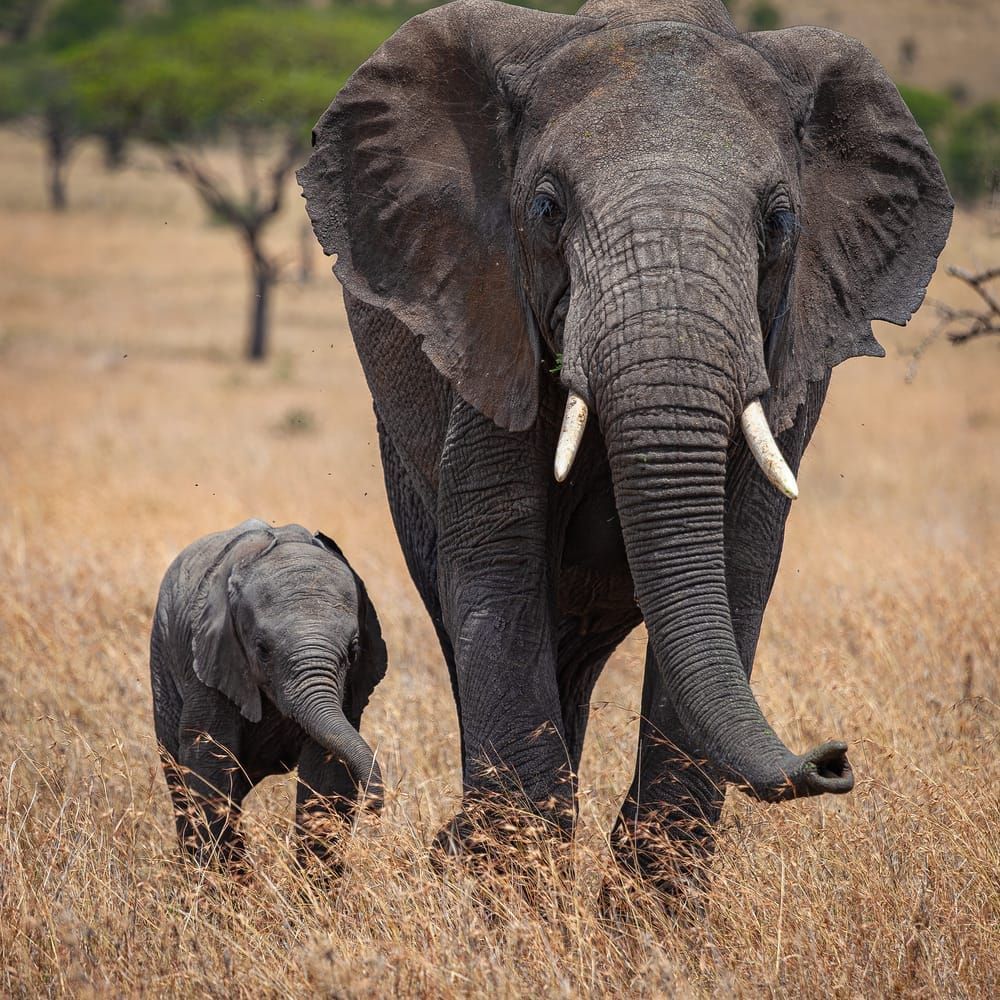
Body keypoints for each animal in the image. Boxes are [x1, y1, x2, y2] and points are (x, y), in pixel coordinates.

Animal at [150, 519, 387, 868]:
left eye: (353, 651)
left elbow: (327, 769)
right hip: (163, 660)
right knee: (179, 776)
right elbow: (209, 759)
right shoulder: (211, 662)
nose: (375, 810)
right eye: (262, 650)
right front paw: (223, 879)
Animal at [299, 0, 952, 893]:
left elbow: (735, 564)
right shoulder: (487, 310)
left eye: (780, 222)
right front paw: (518, 902)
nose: (833, 759)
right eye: (546, 211)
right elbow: (499, 562)